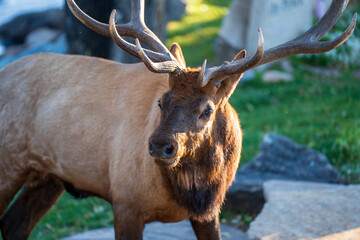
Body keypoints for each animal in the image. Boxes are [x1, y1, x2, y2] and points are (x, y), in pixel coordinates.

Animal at [0, 0, 356, 239]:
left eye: (207, 110)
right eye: (162, 101)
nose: (160, 146)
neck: (193, 192)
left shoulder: (209, 212)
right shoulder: (125, 203)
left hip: (48, 176)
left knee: (15, 225)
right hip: (10, 164)